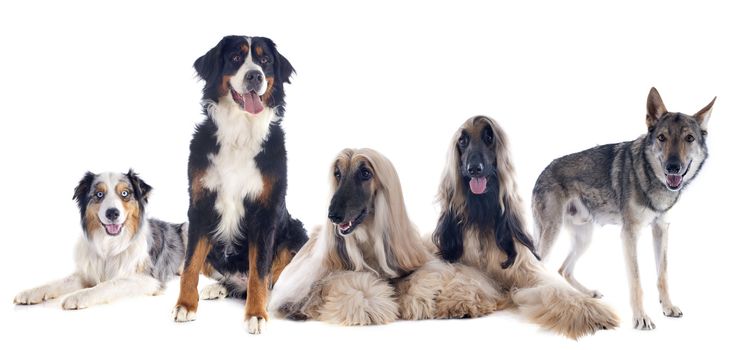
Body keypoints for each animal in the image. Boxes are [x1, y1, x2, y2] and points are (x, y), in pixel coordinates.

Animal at [13, 171, 187, 310]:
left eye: (125, 193)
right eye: (99, 194)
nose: (112, 213)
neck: (109, 245)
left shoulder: (149, 280)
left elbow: (108, 284)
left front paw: (78, 296)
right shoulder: (86, 273)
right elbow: (58, 282)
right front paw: (31, 292)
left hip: (186, 228)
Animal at [172, 34, 306, 334]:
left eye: (265, 60)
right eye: (235, 58)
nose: (255, 76)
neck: (239, 133)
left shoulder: (265, 211)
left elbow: (260, 271)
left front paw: (256, 313)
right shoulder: (200, 206)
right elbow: (190, 265)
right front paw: (185, 305)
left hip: (296, 232)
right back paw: (218, 288)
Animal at [268, 148, 502, 326]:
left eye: (365, 173)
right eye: (337, 173)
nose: (333, 215)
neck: (370, 242)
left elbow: (428, 276)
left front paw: (431, 300)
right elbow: (349, 284)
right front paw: (371, 304)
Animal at [432, 117, 620, 340]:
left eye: (489, 137)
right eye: (462, 141)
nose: (474, 169)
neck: (482, 213)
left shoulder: (526, 271)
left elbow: (549, 289)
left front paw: (590, 312)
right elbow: (464, 279)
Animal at [532, 88, 712, 330]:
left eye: (689, 138)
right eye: (662, 138)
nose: (673, 167)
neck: (649, 176)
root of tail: (541, 173)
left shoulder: (661, 228)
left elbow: (662, 274)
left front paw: (668, 307)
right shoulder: (629, 234)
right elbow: (636, 281)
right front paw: (641, 318)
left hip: (584, 238)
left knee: (563, 269)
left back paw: (587, 294)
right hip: (553, 234)